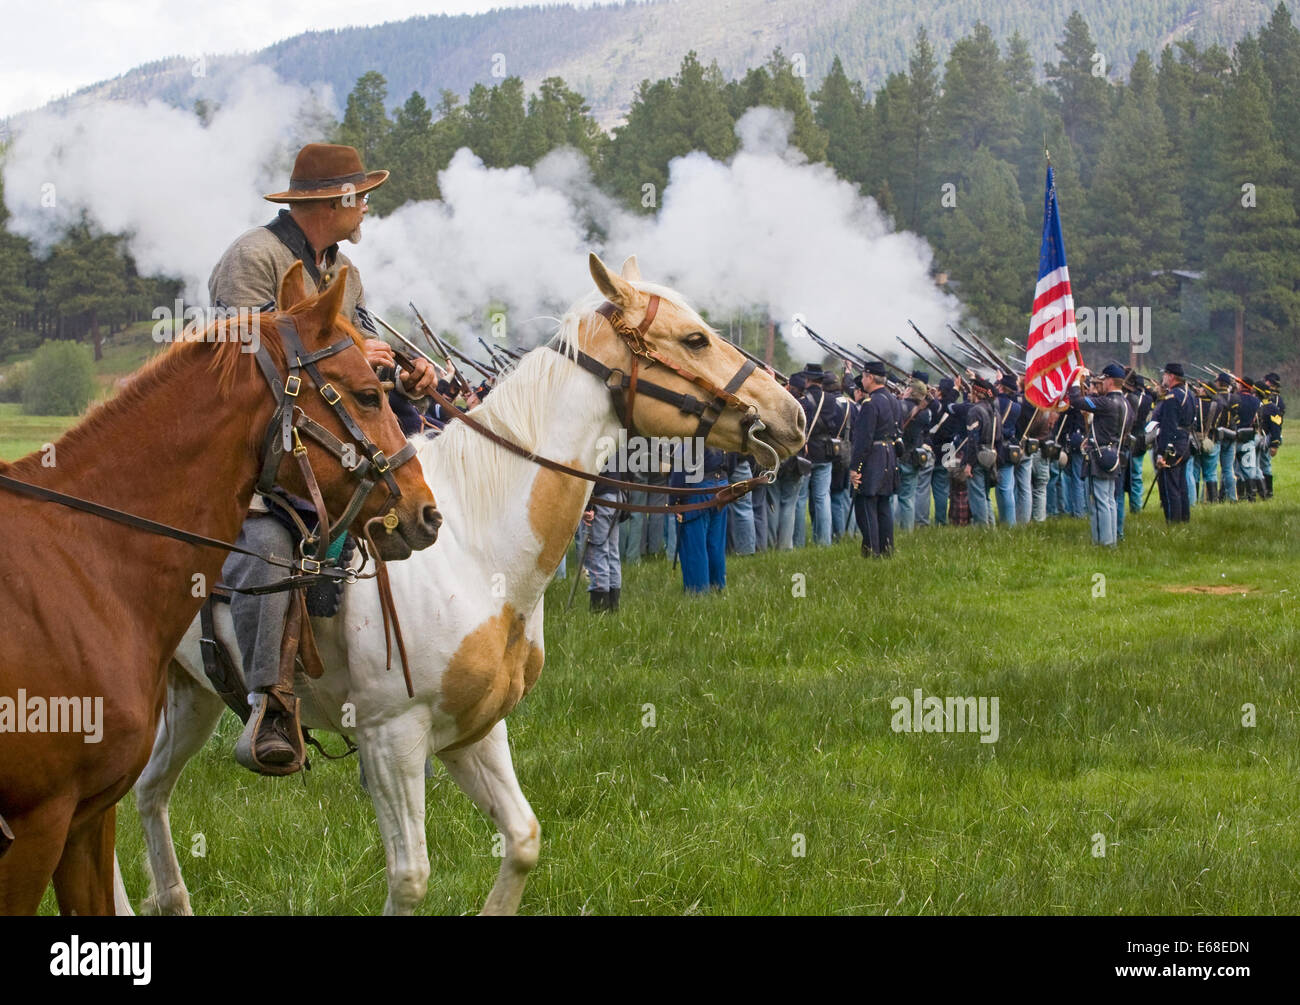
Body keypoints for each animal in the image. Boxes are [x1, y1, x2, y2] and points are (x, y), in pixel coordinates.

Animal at [129, 253, 800, 915]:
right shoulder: (392, 739)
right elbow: (410, 877)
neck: (476, 550)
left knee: (147, 792)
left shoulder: (475, 732)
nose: (791, 415)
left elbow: (524, 840)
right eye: (694, 339)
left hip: (191, 698)